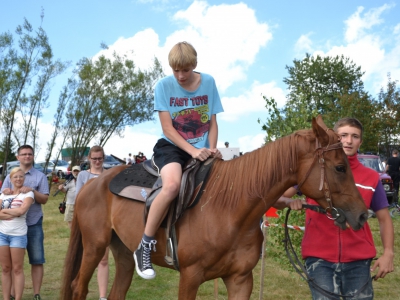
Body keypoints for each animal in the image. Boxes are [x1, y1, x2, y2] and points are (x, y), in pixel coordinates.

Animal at [60, 116, 368, 298]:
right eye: (340, 168)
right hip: (94, 246)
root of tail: (92, 183)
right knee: (78, 287)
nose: (362, 214)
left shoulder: (240, 280)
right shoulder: (190, 277)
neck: (229, 209)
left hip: (123, 253)